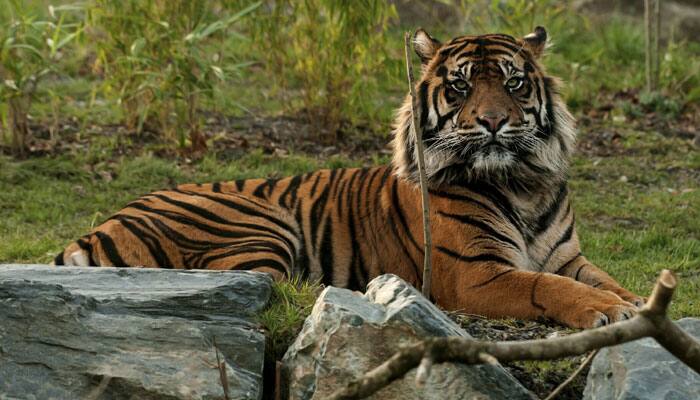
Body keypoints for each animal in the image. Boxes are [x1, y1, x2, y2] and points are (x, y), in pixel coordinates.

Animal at [56, 27, 644, 328]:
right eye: (460, 88)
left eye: (514, 82)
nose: (494, 121)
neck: (522, 183)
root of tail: (101, 224)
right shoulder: (476, 274)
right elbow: (548, 286)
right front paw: (607, 310)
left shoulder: (569, 257)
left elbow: (599, 279)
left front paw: (635, 302)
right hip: (260, 225)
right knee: (264, 286)